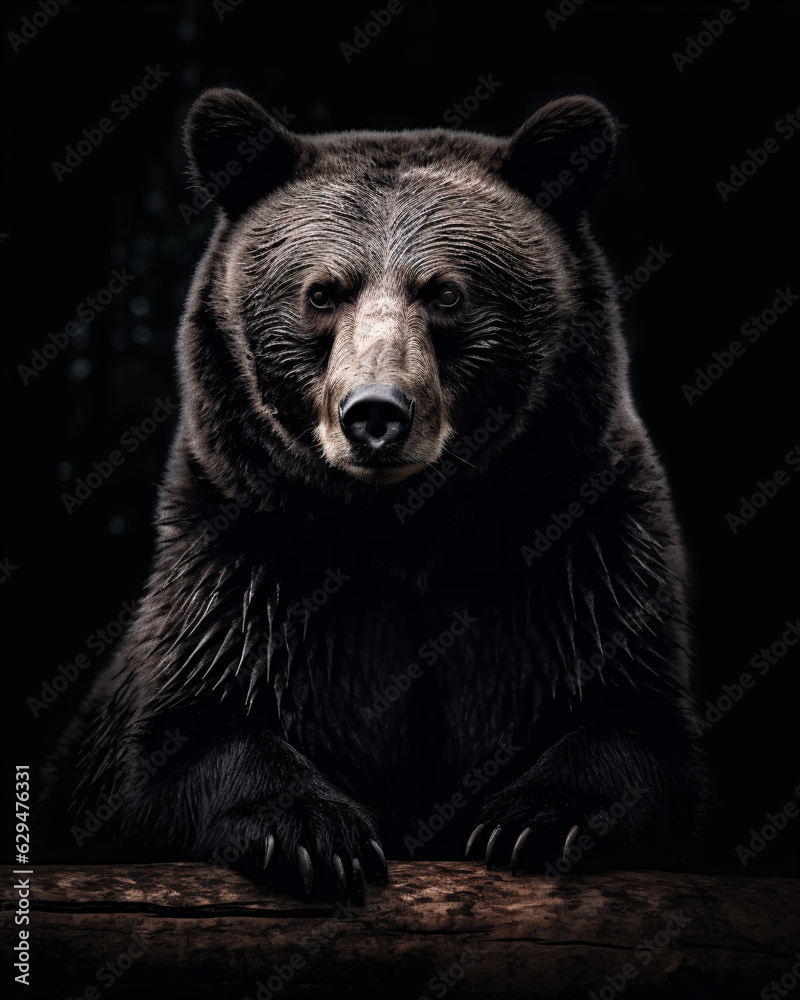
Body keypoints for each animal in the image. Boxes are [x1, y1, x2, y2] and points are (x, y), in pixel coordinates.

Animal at [46, 87, 706, 902]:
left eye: (446, 292)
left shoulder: (581, 541)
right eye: (322, 292)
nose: (376, 413)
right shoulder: (247, 552)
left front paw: (533, 818)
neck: (405, 532)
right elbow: (188, 735)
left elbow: (634, 724)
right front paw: (312, 833)